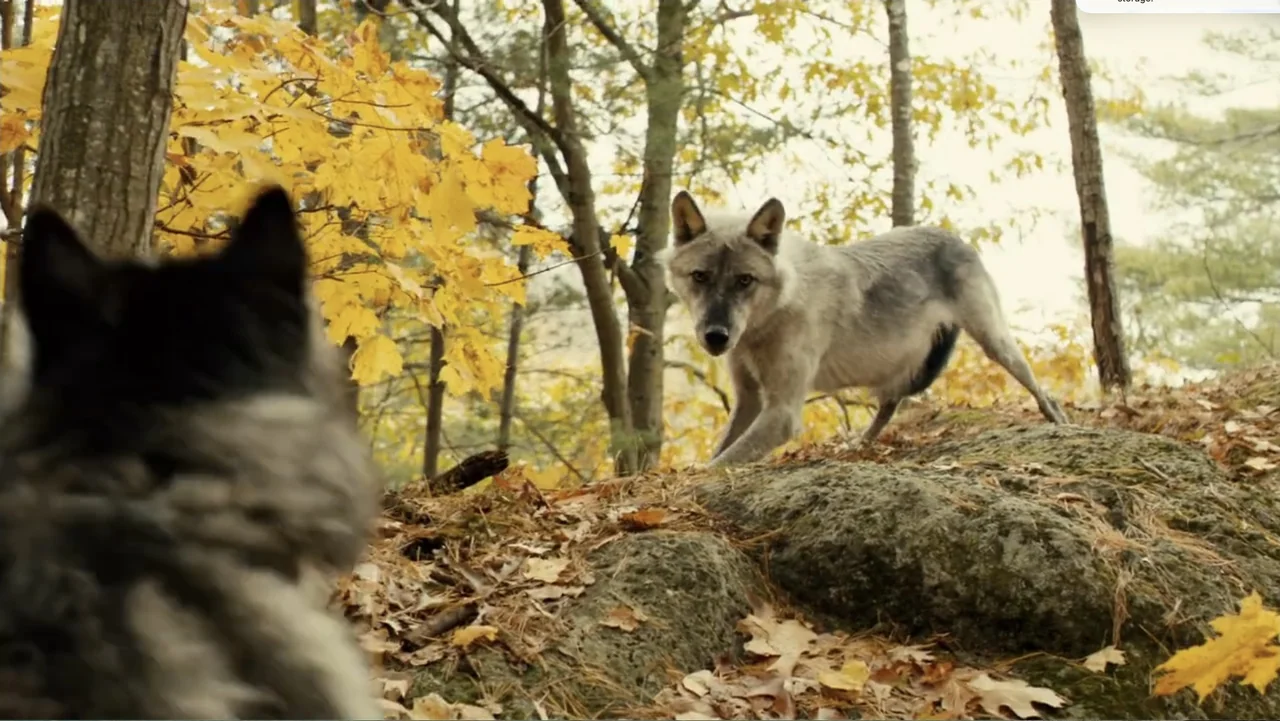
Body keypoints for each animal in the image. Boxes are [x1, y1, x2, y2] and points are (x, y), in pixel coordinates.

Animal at [660, 190, 1070, 468]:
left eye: (745, 280)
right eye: (700, 277)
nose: (716, 336)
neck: (769, 318)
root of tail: (951, 235)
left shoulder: (783, 413)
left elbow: (720, 463)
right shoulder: (750, 400)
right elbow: (721, 450)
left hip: (994, 343)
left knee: (1041, 387)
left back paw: (1058, 420)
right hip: (895, 369)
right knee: (890, 403)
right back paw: (858, 445)